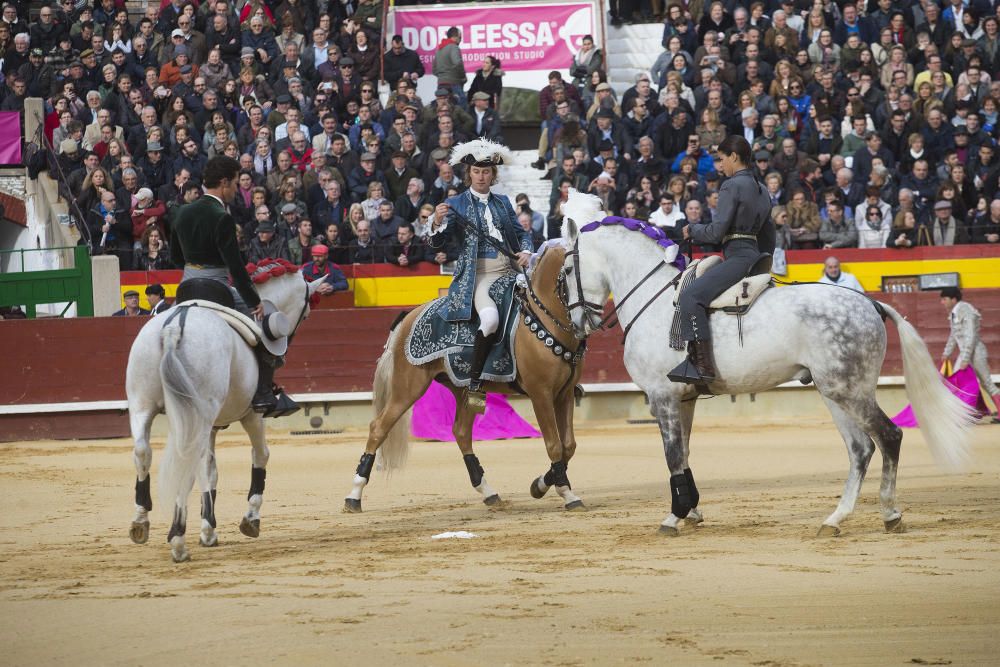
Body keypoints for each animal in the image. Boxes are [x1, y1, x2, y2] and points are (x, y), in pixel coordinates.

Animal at [124, 260, 320, 564]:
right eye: (307, 312)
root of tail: (175, 326)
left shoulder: (212, 426)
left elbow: (210, 470)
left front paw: (209, 529)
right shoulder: (253, 415)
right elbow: (260, 456)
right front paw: (249, 519)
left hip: (141, 405)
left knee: (143, 452)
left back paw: (141, 523)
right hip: (197, 415)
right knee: (186, 463)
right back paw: (177, 541)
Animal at [346, 245, 584, 512]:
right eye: (570, 271)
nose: (587, 318)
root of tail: (410, 315)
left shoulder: (564, 393)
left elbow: (568, 445)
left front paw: (541, 485)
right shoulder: (540, 393)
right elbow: (554, 445)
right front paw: (566, 493)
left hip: (465, 390)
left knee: (460, 432)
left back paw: (488, 492)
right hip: (407, 388)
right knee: (378, 428)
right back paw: (353, 496)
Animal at [560, 189, 972, 536]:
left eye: (565, 271)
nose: (578, 323)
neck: (655, 297)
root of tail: (870, 303)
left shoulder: (662, 396)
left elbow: (673, 454)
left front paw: (673, 517)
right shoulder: (684, 398)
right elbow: (685, 453)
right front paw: (691, 511)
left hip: (849, 390)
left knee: (889, 437)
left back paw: (889, 512)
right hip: (834, 392)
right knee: (860, 449)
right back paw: (835, 519)